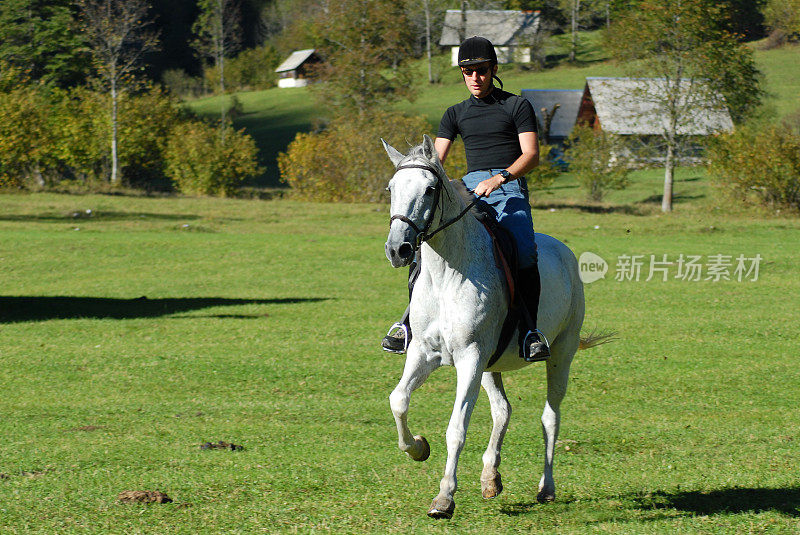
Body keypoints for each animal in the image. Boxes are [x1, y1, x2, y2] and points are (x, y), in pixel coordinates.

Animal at [384, 136, 592, 520]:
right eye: (391, 188)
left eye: (430, 189)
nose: (398, 249)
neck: (447, 272)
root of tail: (565, 251)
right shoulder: (423, 352)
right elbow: (399, 400)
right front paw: (418, 447)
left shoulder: (470, 357)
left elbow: (456, 427)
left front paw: (444, 498)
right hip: (491, 365)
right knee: (502, 411)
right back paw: (490, 478)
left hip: (561, 354)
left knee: (550, 417)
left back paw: (547, 488)